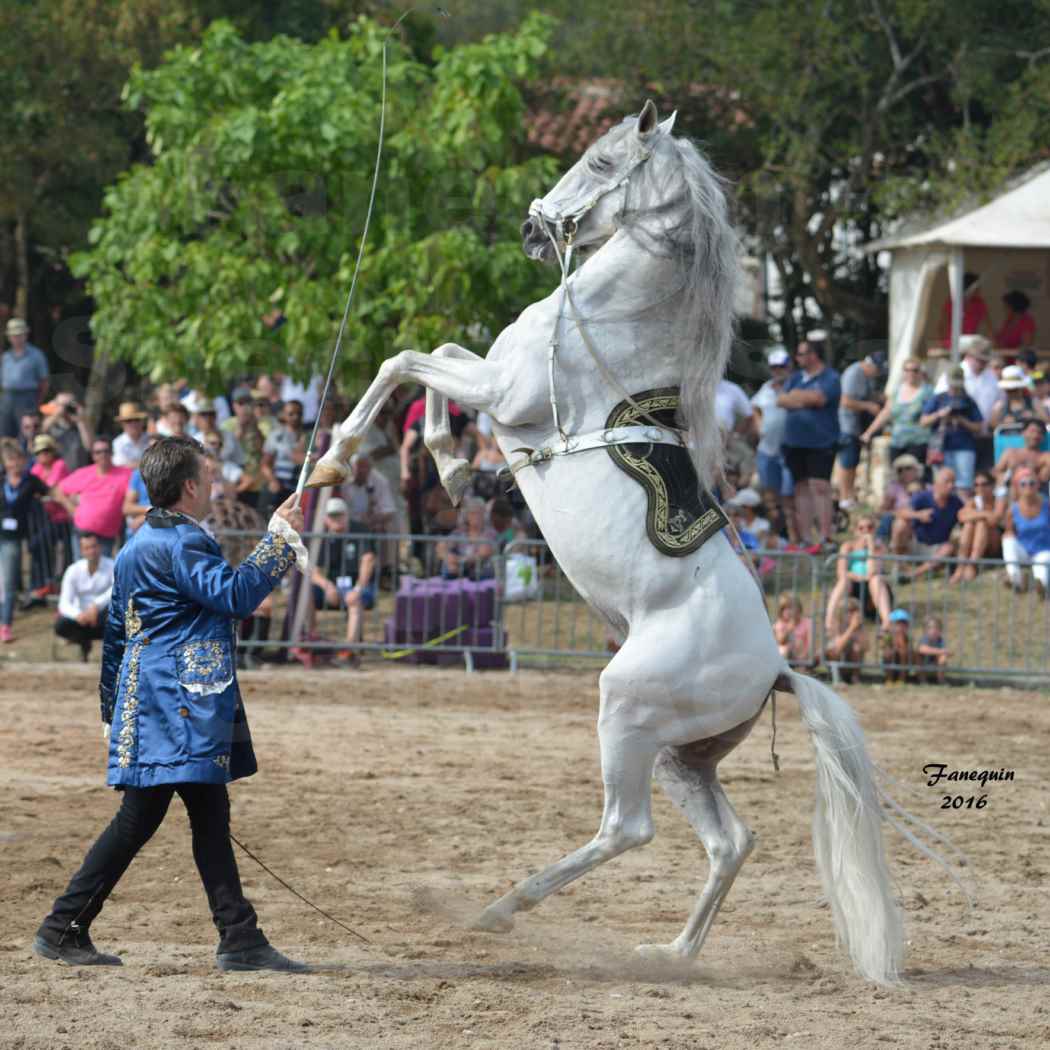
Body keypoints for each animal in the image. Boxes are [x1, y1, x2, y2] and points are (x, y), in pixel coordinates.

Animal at [308, 98, 911, 982]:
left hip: (626, 711)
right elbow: (437, 361)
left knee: (629, 828)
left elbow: (406, 357)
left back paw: (504, 908)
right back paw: (669, 952)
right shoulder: (489, 380)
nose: (533, 229)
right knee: (731, 842)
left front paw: (335, 457)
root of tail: (777, 669)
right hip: (679, 753)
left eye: (598, 161)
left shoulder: (502, 390)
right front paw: (454, 469)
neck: (604, 321)